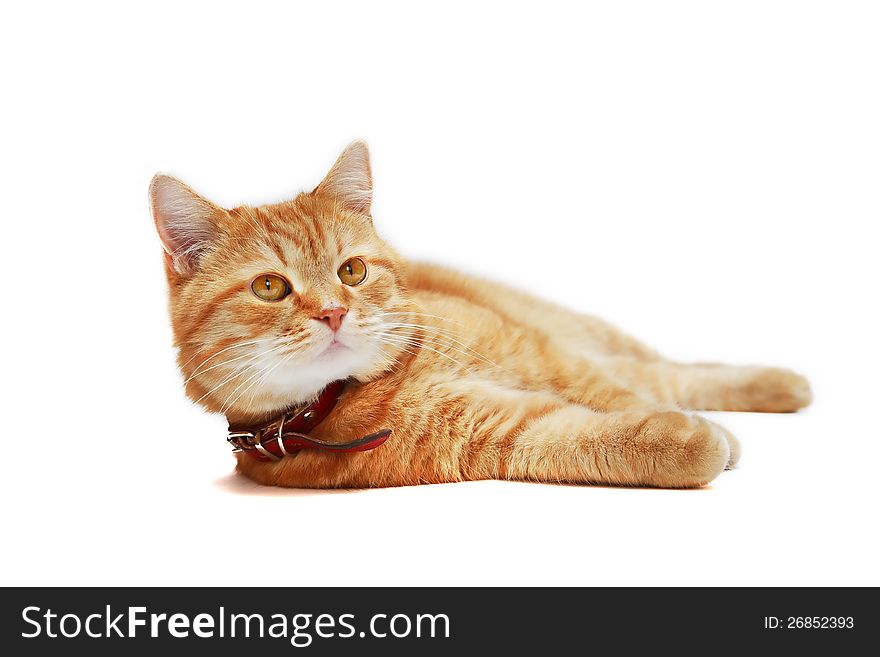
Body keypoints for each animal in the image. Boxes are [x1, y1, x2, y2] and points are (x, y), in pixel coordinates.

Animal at [150, 142, 812, 486]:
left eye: (351, 272)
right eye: (270, 287)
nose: (335, 313)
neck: (374, 386)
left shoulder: (549, 357)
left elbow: (621, 395)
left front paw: (706, 426)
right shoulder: (495, 435)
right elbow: (589, 435)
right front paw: (693, 440)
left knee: (665, 371)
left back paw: (781, 385)